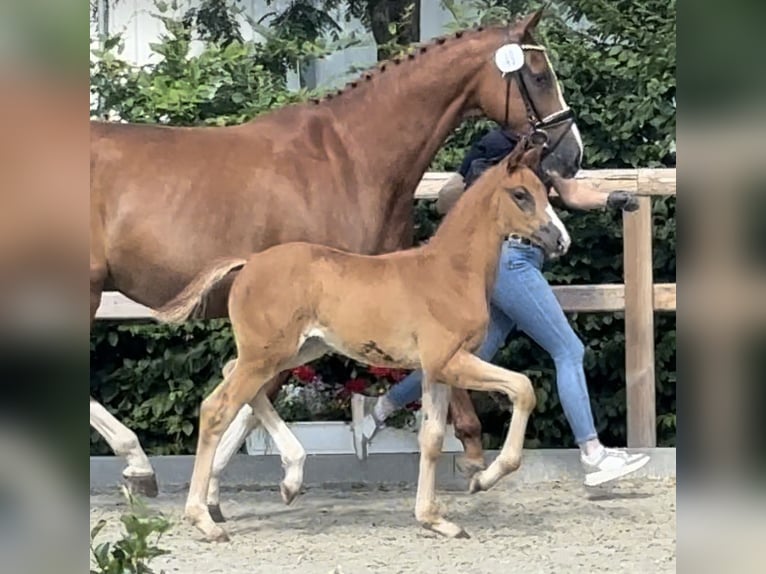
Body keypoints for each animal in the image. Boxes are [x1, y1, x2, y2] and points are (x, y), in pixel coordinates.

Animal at [153, 137, 568, 544]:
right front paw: (483, 479)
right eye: (520, 194)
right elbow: (523, 388)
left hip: (294, 350)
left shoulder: (436, 370)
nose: (560, 240)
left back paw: (290, 479)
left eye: (545, 191)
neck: (450, 272)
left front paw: (435, 519)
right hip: (268, 354)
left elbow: (432, 438)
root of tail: (249, 263)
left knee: (234, 376)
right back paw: (205, 520)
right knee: (216, 408)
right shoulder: (450, 360)